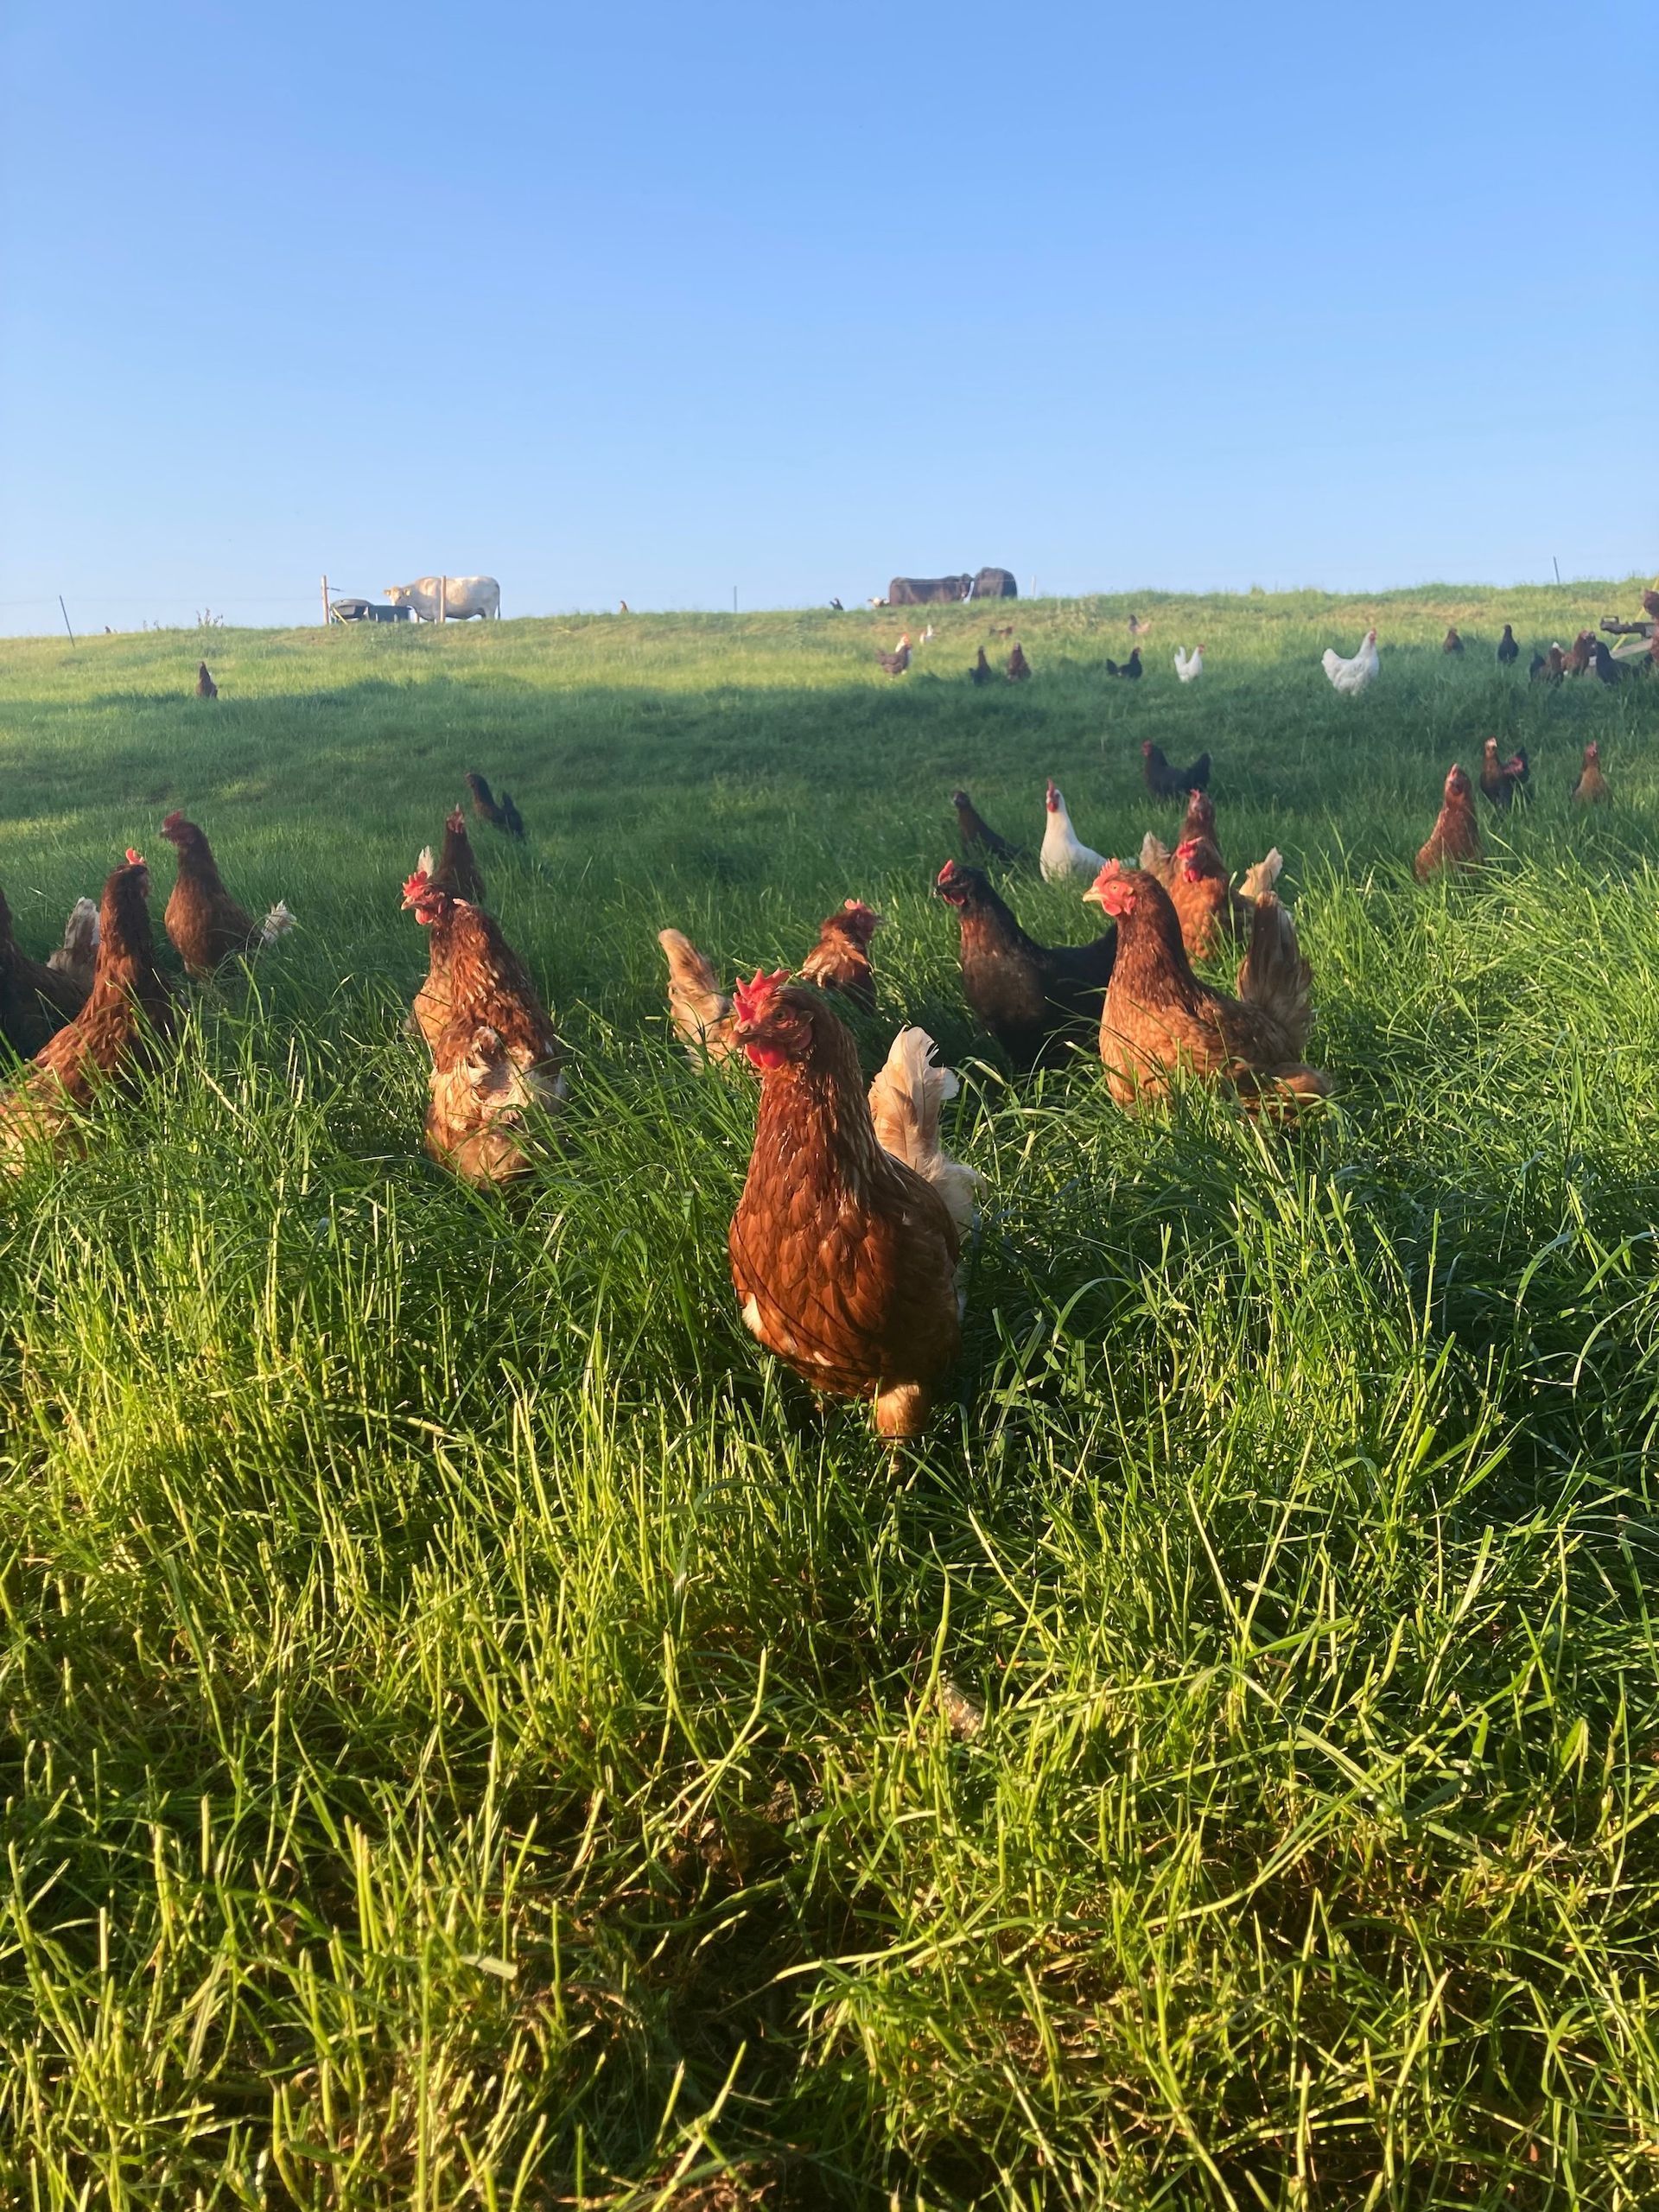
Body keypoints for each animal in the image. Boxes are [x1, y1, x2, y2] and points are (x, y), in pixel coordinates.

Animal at [383, 575, 502, 622]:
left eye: (400, 597)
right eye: (390, 597)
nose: (393, 607)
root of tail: (493, 581)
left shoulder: (438, 613)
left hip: (490, 610)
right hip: (483, 613)